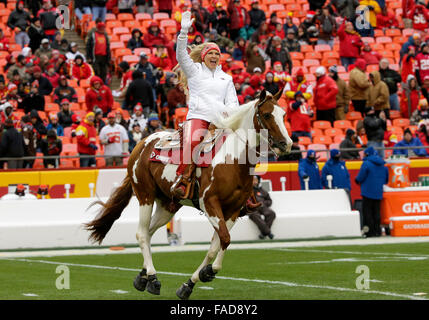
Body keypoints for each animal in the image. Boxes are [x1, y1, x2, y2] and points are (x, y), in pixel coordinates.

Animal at [84, 89, 290, 298]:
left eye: (283, 115)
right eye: (267, 115)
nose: (286, 144)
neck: (233, 160)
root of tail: (143, 143)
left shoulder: (232, 211)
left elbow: (216, 246)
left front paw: (191, 282)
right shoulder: (210, 204)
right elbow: (224, 239)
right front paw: (207, 272)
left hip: (167, 205)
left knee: (149, 233)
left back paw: (142, 277)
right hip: (145, 195)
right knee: (141, 234)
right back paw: (152, 278)